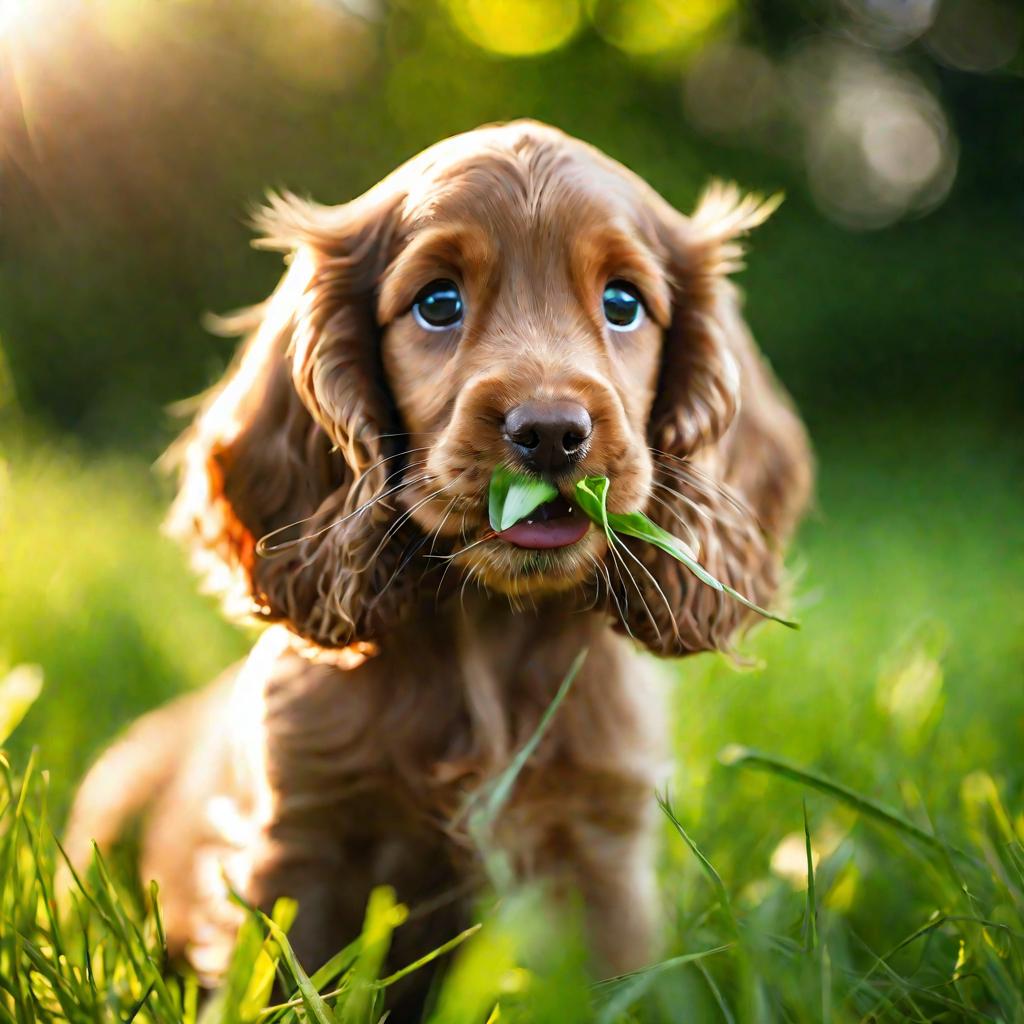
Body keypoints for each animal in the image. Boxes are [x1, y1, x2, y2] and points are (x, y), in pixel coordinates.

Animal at [68, 116, 811, 1011]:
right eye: (438, 304)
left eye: (623, 303)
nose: (551, 433)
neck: (488, 624)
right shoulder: (300, 848)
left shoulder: (598, 855)